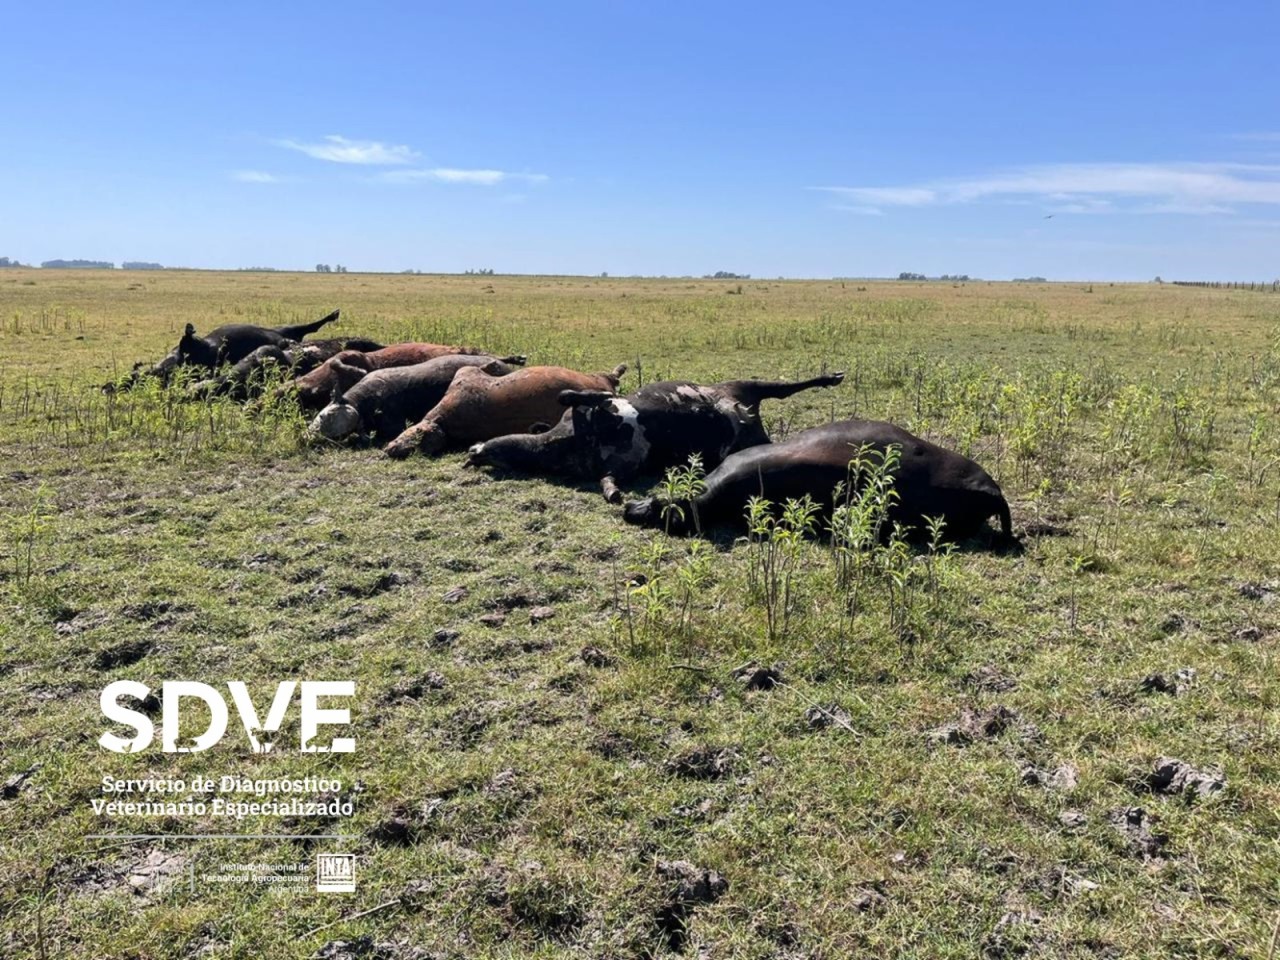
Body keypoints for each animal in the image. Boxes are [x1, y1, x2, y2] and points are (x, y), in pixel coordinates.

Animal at [465, 372, 846, 502]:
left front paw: (601, 396)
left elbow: (570, 396)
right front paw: (614, 495)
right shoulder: (621, 467)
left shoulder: (581, 412)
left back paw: (831, 378)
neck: (563, 443)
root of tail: (746, 413)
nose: (471, 452)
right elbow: (608, 483)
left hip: (747, 384)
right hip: (752, 438)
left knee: (788, 387)